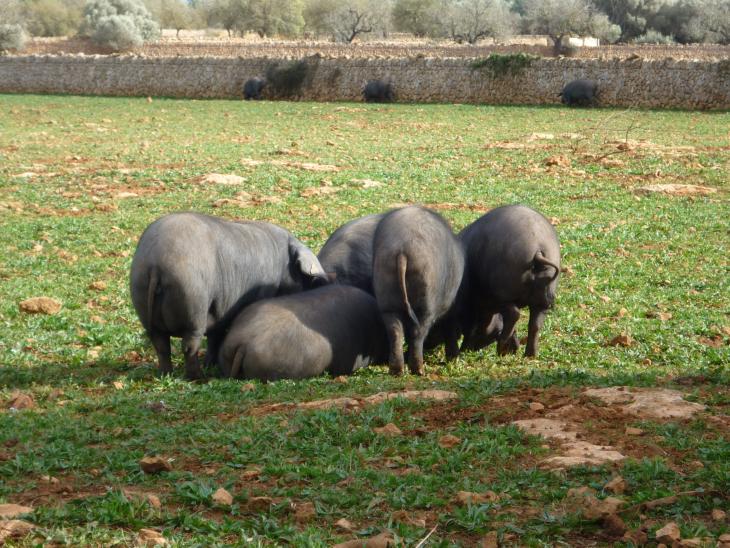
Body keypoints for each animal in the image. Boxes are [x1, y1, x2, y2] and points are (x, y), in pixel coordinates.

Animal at [129, 212, 328, 378]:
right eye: (309, 280)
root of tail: (156, 263)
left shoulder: (219, 310)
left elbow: (214, 336)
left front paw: (210, 363)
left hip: (141, 296)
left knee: (161, 345)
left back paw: (166, 374)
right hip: (192, 299)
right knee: (189, 345)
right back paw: (197, 378)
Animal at [372, 206, 464, 376]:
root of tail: (402, 248)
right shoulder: (450, 309)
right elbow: (449, 328)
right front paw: (453, 357)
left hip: (385, 291)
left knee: (395, 331)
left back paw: (397, 370)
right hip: (425, 299)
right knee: (418, 331)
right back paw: (418, 370)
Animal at [460, 204, 556, 356]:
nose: (466, 350)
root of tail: (538, 249)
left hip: (502, 294)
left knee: (514, 315)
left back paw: (503, 346)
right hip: (541, 300)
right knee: (535, 324)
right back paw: (529, 355)